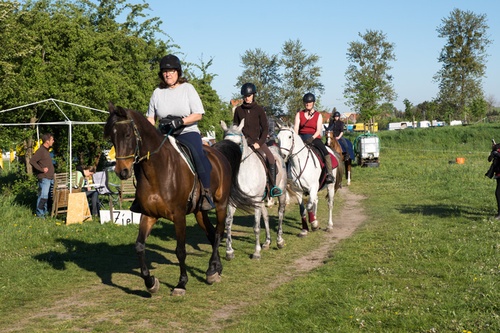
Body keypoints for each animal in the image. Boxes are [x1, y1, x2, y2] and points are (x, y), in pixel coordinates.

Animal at [104, 102, 256, 294]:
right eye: (112, 137)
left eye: (128, 134)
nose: (121, 171)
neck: (157, 171)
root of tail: (218, 154)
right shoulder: (149, 214)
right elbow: (139, 246)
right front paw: (150, 282)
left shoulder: (178, 216)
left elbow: (180, 250)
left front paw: (181, 283)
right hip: (199, 211)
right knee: (211, 233)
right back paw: (216, 268)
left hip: (221, 205)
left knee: (218, 233)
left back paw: (211, 270)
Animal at [219, 119, 286, 260]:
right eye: (225, 141)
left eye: (239, 143)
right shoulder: (232, 202)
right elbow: (228, 223)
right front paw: (229, 251)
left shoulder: (255, 201)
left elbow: (256, 226)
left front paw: (256, 252)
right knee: (265, 215)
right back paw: (267, 242)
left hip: (280, 193)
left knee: (280, 213)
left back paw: (279, 241)